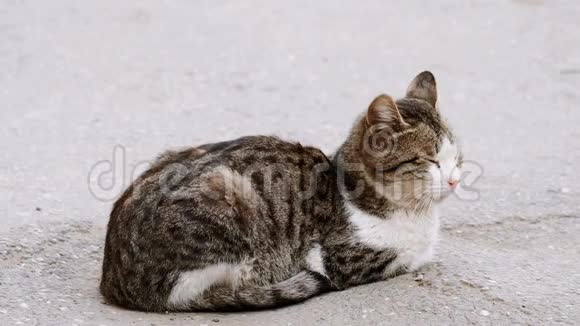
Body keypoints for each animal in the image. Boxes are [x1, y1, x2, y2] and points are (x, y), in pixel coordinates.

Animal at [99, 71, 462, 310]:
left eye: (455, 156)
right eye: (431, 161)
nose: (455, 180)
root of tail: (114, 280)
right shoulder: (339, 259)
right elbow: (407, 258)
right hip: (227, 198)